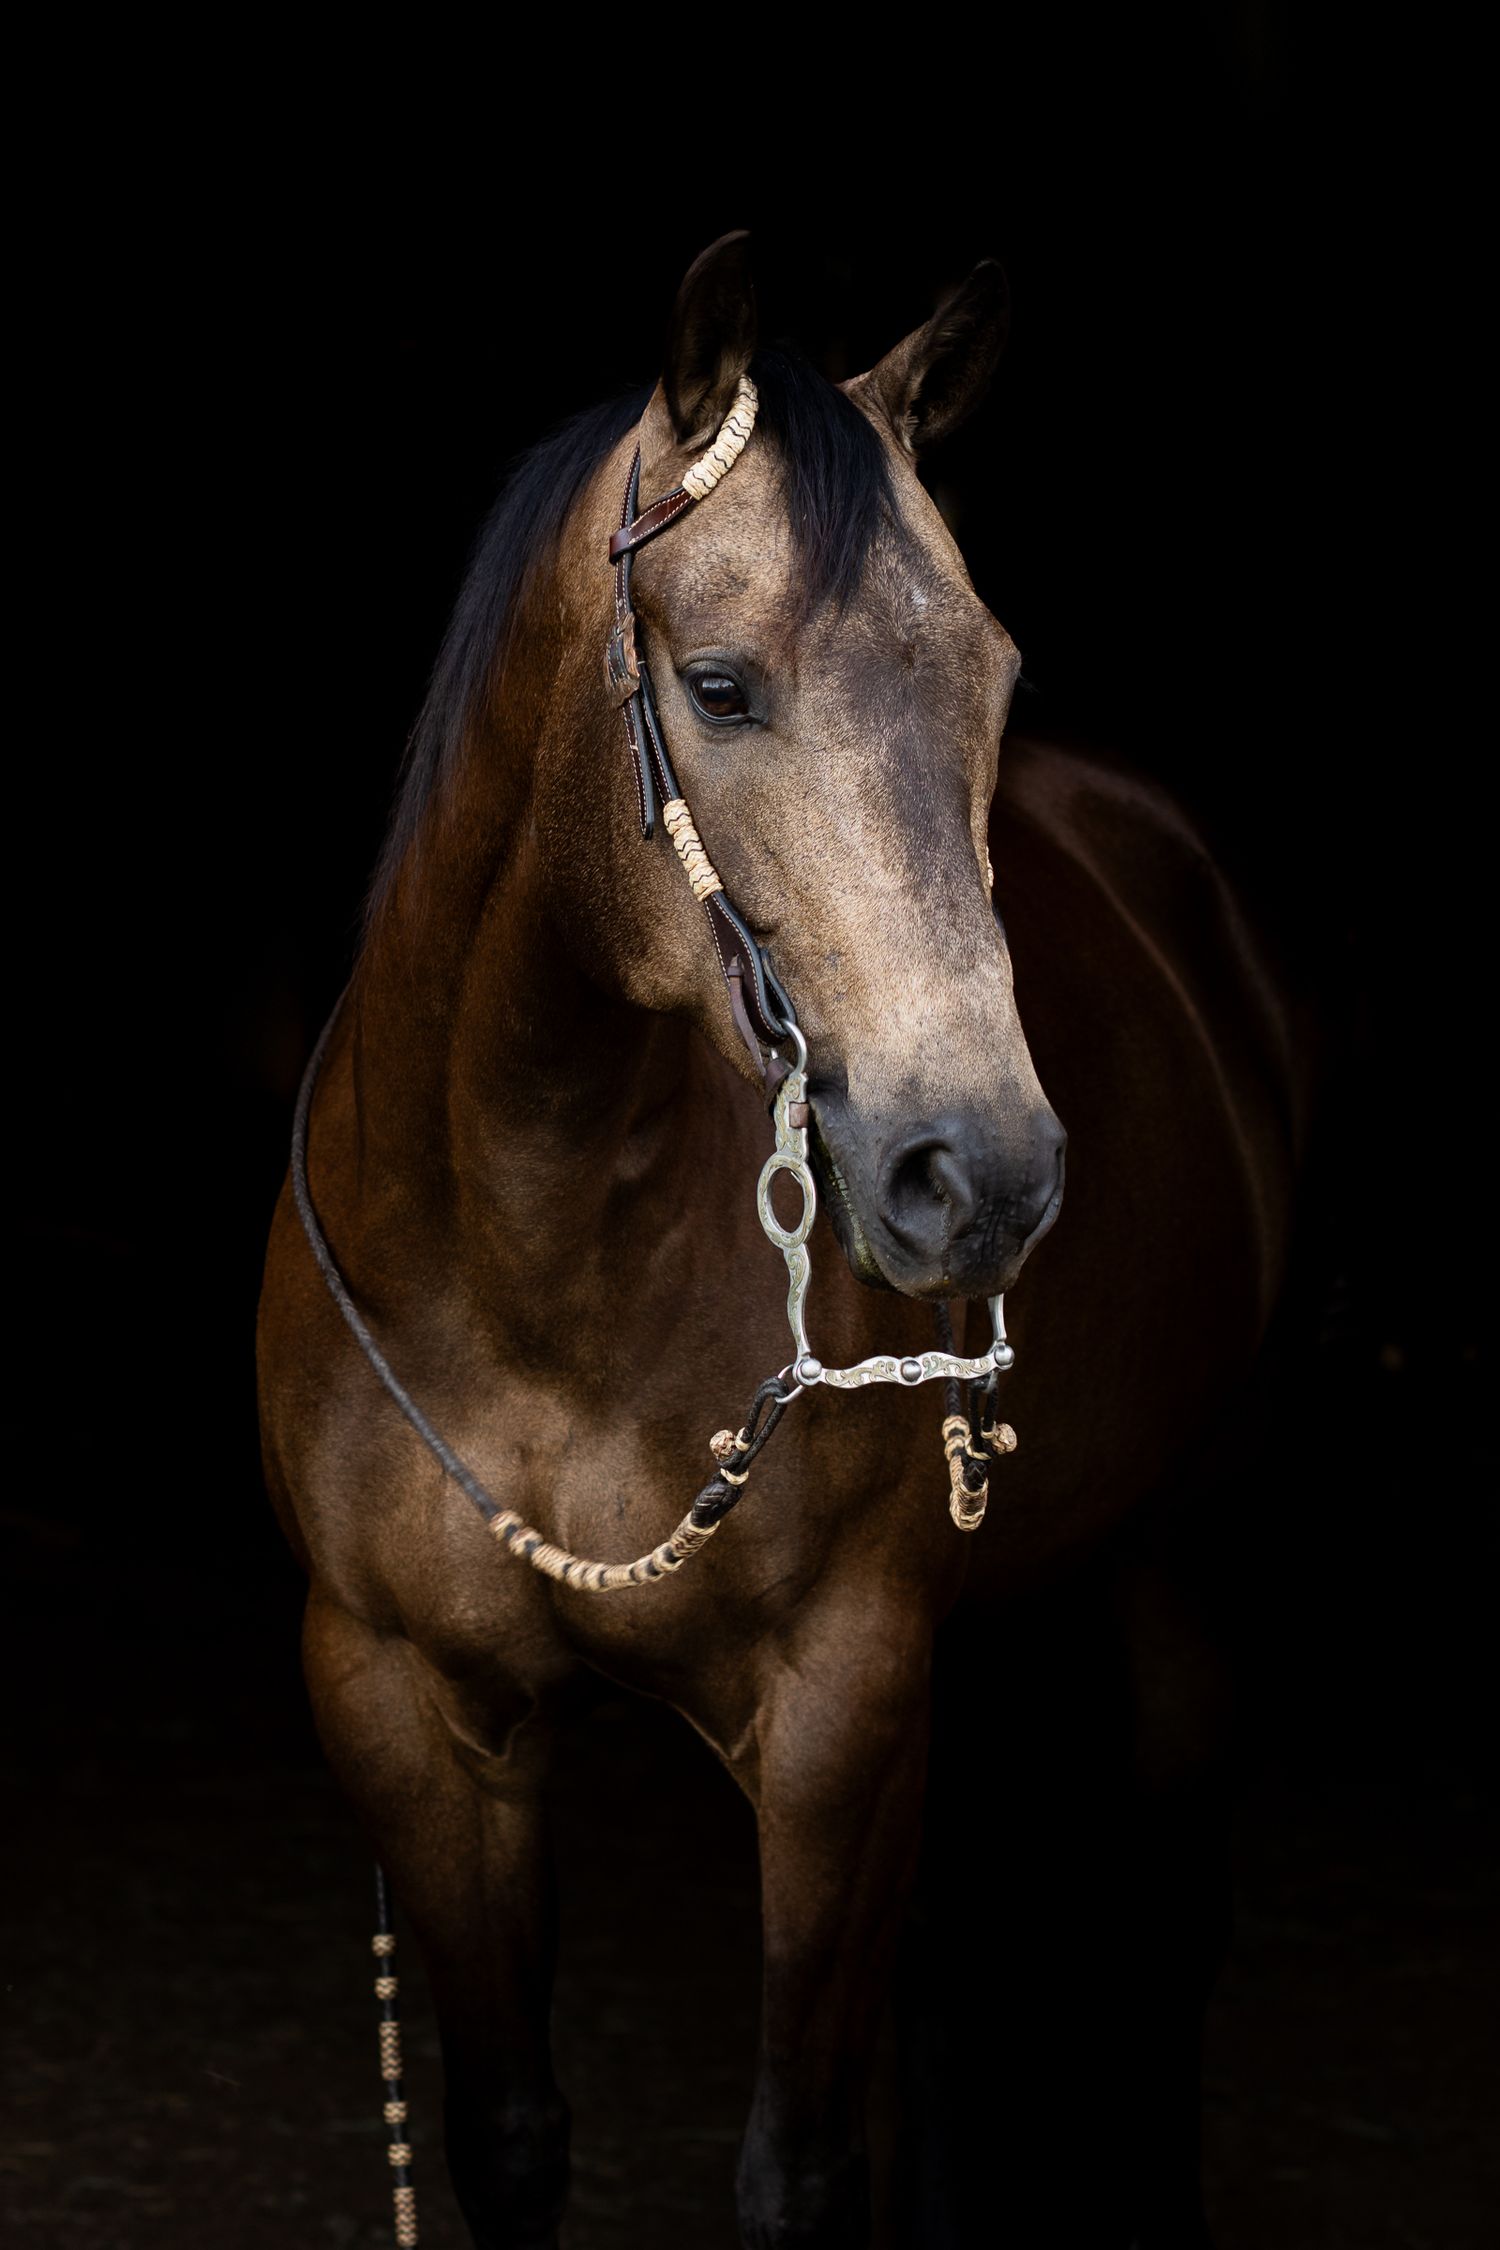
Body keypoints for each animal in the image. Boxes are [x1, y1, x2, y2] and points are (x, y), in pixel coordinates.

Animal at [257, 233, 1308, 2248]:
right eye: (724, 685)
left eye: (996, 675)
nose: (981, 1173)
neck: (534, 1262)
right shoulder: (408, 1713)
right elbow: (513, 2132)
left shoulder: (834, 1709)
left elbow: (798, 2165)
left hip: (1184, 1565)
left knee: (1175, 1946)